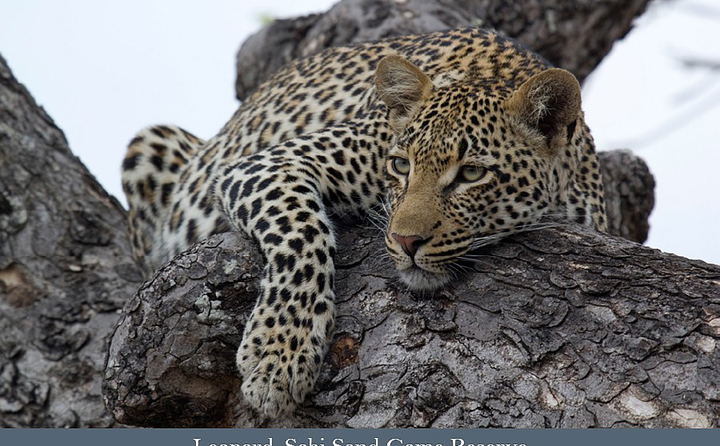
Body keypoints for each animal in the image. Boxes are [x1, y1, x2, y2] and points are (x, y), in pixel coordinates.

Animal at [121, 27, 607, 418]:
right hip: (150, 143)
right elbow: (303, 234)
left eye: (471, 174)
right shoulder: (265, 165)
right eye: (400, 165)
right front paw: (278, 356)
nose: (405, 241)